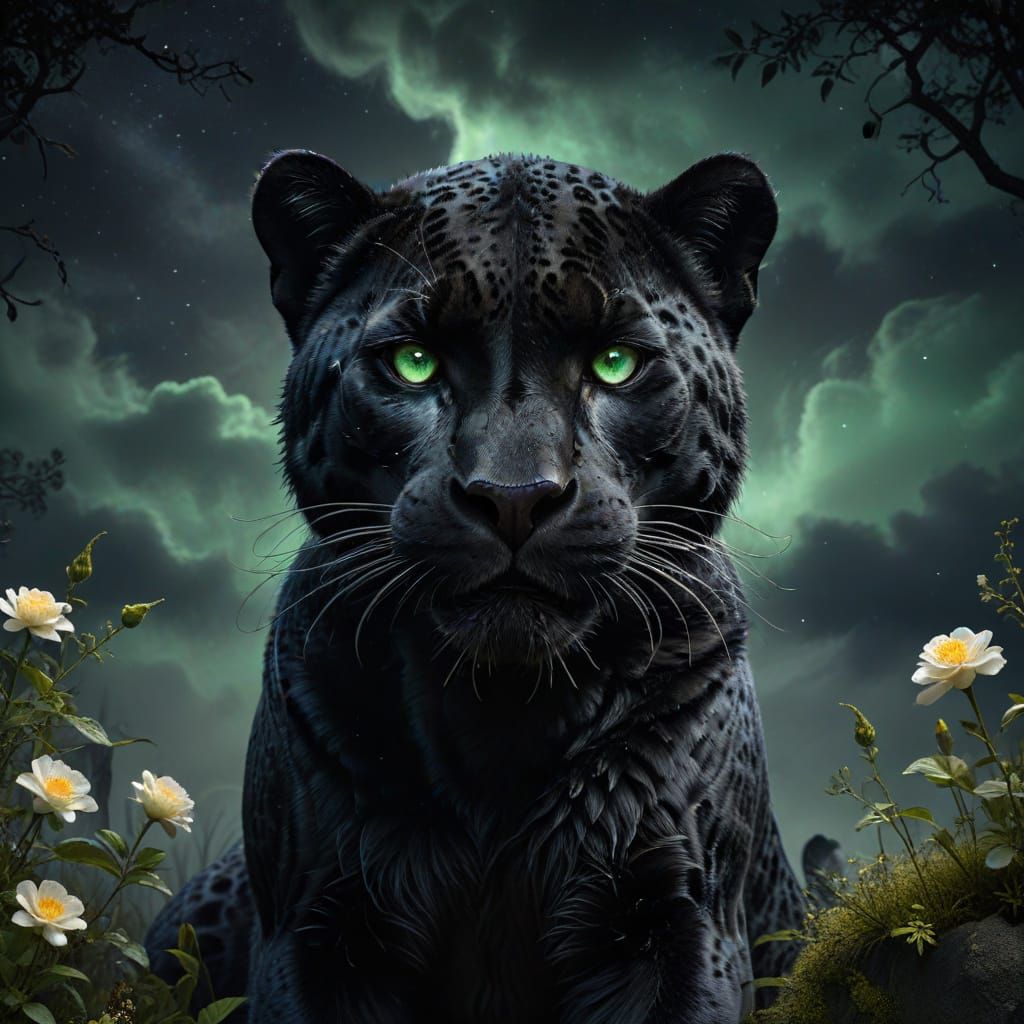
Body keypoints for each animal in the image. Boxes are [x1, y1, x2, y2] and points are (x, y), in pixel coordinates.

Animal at [146, 148, 833, 1023]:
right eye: (413, 361)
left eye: (615, 363)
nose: (513, 497)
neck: (498, 718)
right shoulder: (312, 927)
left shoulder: (681, 920)